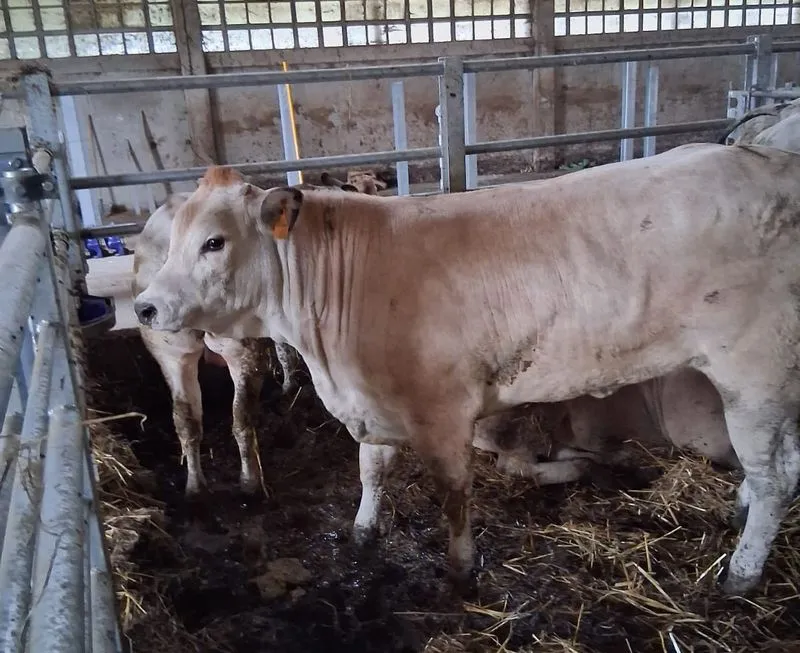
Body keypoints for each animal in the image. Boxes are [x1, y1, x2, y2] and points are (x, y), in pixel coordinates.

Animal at [132, 172, 374, 496]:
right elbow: (285, 354)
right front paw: (289, 386)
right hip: (238, 352)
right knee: (241, 419)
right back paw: (251, 482)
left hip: (173, 353)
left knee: (187, 420)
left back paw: (196, 486)